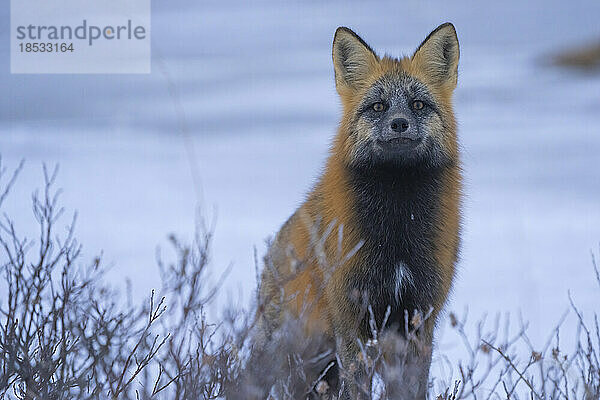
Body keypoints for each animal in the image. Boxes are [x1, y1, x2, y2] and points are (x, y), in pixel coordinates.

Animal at [256, 23, 460, 398]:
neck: (397, 230)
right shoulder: (352, 321)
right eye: (378, 106)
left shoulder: (419, 319)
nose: (399, 123)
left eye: (418, 104)